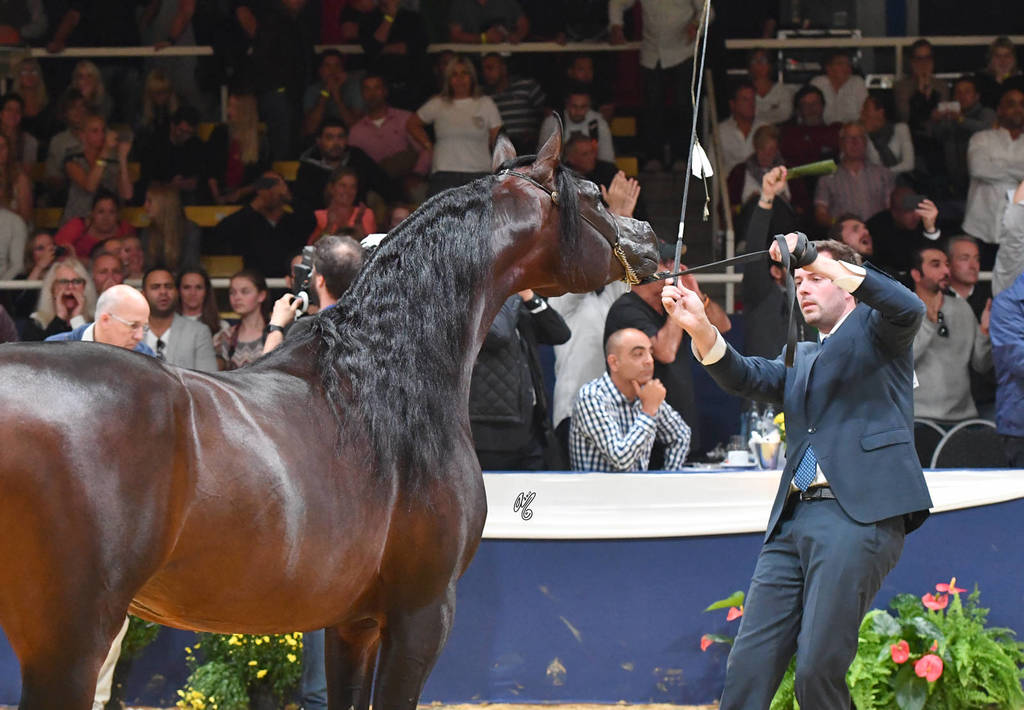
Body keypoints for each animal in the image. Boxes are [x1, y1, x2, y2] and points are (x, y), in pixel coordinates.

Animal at [0, 128, 659, 709]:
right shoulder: (421, 615)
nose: (650, 239)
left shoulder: (352, 623)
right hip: (70, 645)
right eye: (598, 197)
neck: (383, 379)